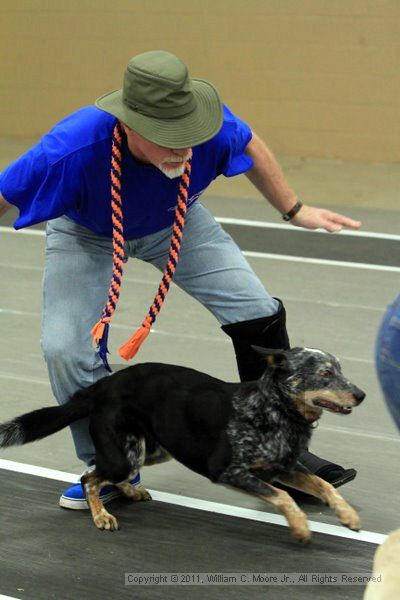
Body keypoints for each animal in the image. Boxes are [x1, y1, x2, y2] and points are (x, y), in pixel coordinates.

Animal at [0, 344, 364, 540]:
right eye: (325, 374)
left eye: (341, 369)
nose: (361, 394)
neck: (273, 410)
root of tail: (100, 386)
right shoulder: (232, 471)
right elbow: (285, 497)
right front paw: (301, 528)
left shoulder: (283, 468)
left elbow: (324, 486)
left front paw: (348, 516)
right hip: (125, 455)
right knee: (90, 477)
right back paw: (101, 516)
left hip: (155, 448)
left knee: (112, 474)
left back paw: (131, 492)